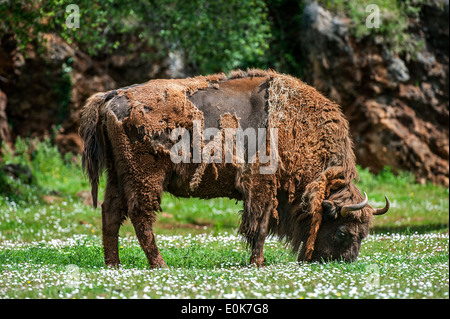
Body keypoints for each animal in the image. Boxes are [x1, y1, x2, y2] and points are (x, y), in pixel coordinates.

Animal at [80, 69, 390, 268]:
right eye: (342, 232)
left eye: (364, 234)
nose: (344, 262)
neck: (296, 125)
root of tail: (111, 96)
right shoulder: (262, 188)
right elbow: (260, 227)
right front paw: (257, 264)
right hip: (145, 177)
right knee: (140, 215)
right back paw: (160, 265)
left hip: (117, 176)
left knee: (111, 212)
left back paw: (114, 265)